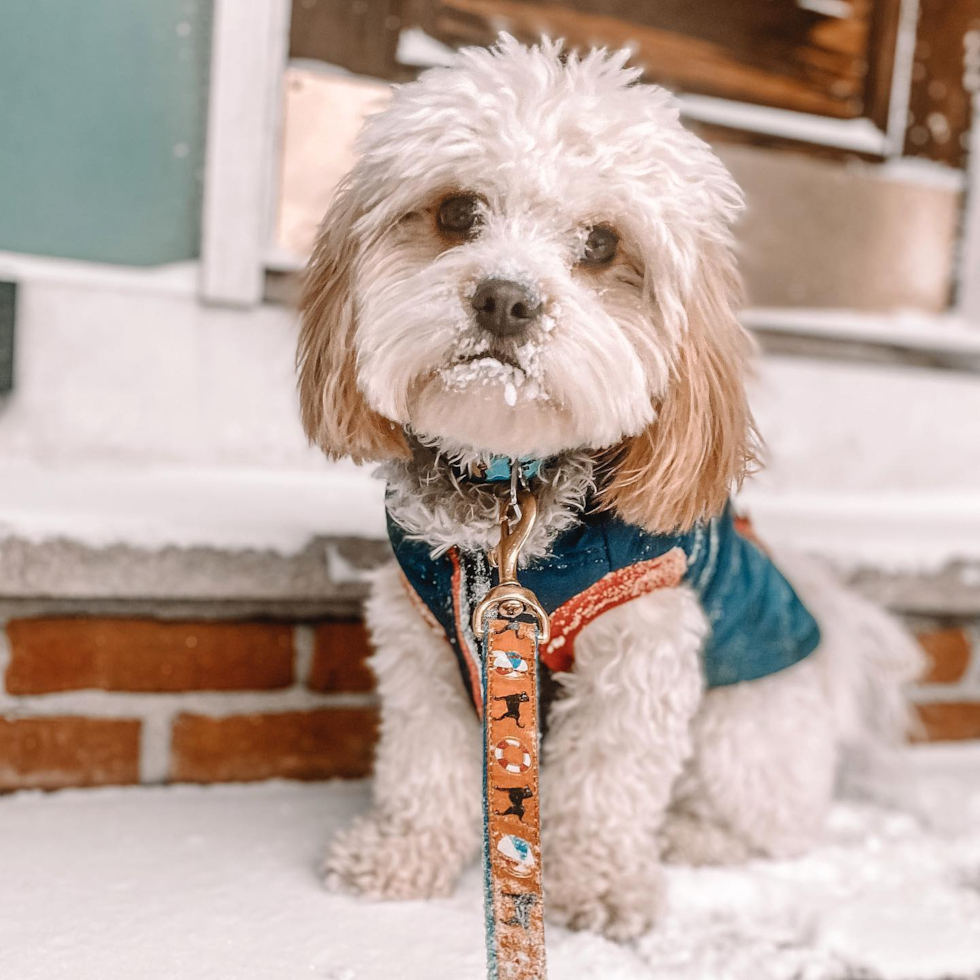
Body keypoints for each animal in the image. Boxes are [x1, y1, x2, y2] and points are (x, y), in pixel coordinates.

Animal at [294, 38, 924, 940]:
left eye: (600, 244)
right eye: (457, 212)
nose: (505, 299)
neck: (511, 500)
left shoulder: (641, 647)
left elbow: (607, 783)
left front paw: (598, 887)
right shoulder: (424, 645)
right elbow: (423, 765)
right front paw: (403, 856)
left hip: (744, 729)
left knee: (770, 823)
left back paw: (692, 836)